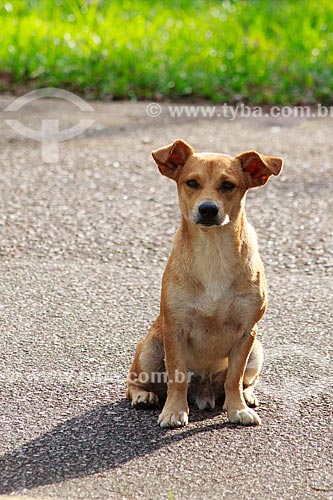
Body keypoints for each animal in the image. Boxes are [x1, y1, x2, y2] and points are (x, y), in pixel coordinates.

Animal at [126, 139, 282, 428]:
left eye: (228, 185)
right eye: (192, 182)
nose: (208, 208)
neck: (214, 251)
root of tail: (205, 392)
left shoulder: (247, 332)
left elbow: (234, 377)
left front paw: (237, 409)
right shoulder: (175, 330)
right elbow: (177, 377)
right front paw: (174, 411)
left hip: (257, 351)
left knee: (242, 381)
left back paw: (245, 396)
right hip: (149, 353)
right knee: (132, 382)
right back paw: (144, 396)